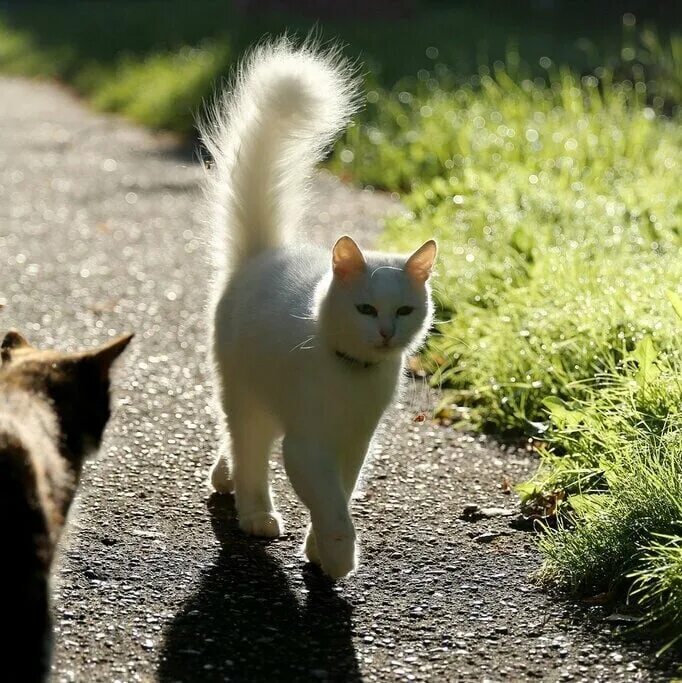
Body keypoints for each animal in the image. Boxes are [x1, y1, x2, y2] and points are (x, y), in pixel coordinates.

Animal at [202, 40, 436, 580]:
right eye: (367, 309)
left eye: (405, 310)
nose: (387, 333)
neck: (352, 376)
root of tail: (264, 254)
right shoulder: (308, 446)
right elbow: (331, 506)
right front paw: (336, 554)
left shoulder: (355, 444)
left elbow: (342, 495)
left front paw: (318, 551)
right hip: (249, 399)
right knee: (249, 456)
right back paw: (257, 515)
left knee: (233, 446)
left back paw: (224, 478)